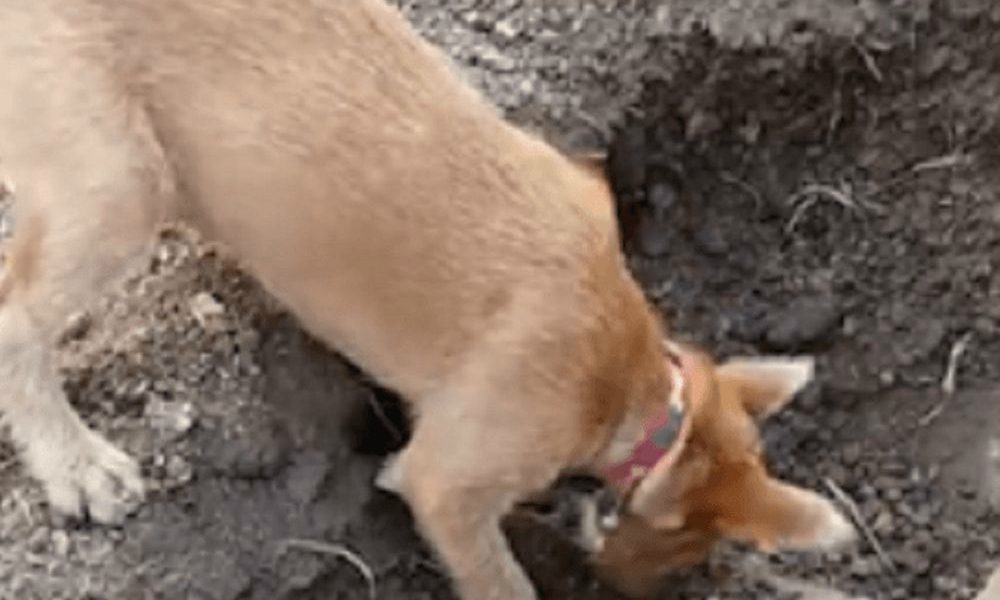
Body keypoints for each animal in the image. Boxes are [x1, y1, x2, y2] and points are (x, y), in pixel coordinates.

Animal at [0, 1, 696, 600]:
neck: (622, 364)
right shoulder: (452, 478)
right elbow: (500, 577)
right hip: (118, 182)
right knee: (15, 319)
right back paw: (79, 466)